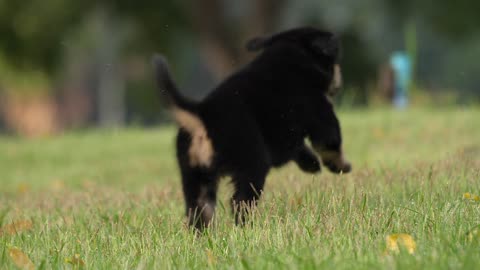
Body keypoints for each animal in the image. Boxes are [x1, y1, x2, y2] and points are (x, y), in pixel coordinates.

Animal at [154, 26, 352, 230]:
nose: (340, 79)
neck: (293, 52)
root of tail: (200, 114)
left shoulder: (285, 137)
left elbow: (299, 149)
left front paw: (312, 163)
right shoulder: (319, 111)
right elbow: (330, 142)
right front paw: (341, 166)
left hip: (195, 174)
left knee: (199, 208)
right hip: (252, 165)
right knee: (240, 201)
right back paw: (247, 227)